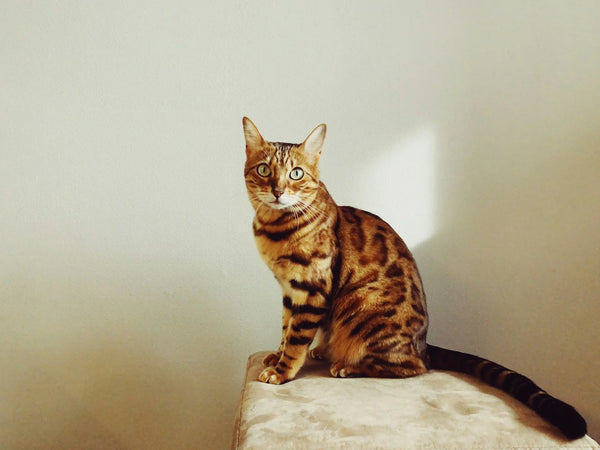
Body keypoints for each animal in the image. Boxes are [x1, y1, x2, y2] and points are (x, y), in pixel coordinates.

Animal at [240, 116, 584, 440]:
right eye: (263, 170)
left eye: (296, 173)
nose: (278, 191)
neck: (274, 230)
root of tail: (424, 344)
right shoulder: (289, 290)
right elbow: (286, 329)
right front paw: (275, 356)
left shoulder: (311, 288)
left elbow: (296, 337)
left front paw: (282, 371)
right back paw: (326, 350)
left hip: (363, 304)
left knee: (412, 367)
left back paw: (346, 365)